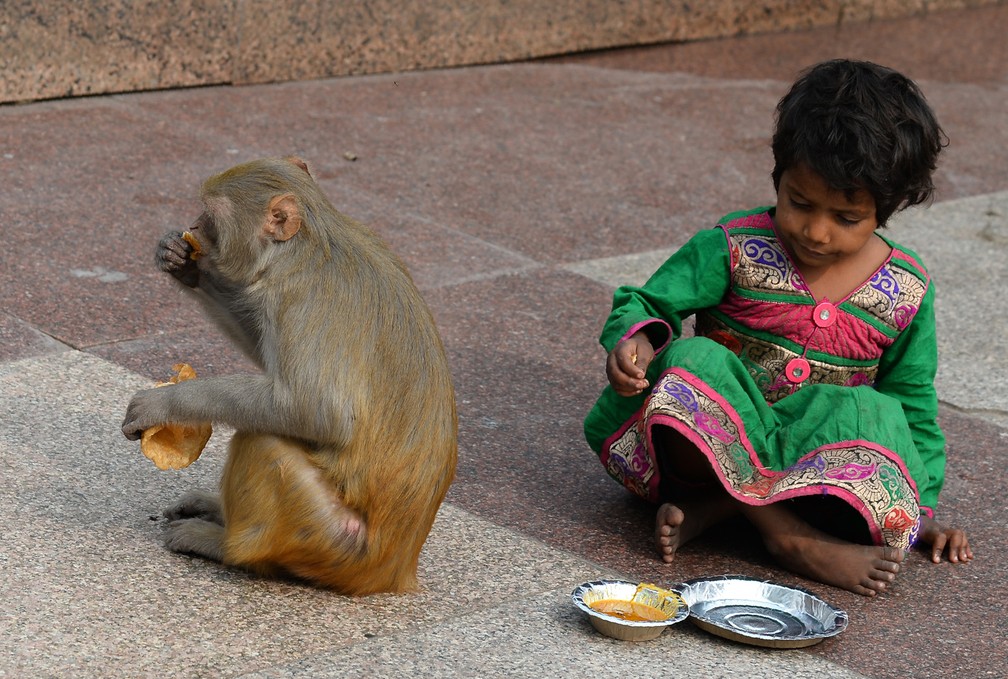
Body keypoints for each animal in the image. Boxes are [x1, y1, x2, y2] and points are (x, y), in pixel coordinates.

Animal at [122, 157, 457, 595]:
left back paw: (222, 544)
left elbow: (312, 409)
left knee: (263, 439)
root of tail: (393, 570)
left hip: (332, 541)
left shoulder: (302, 298)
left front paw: (164, 403)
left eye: (209, 216)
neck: (307, 246)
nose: (193, 226)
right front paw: (184, 265)